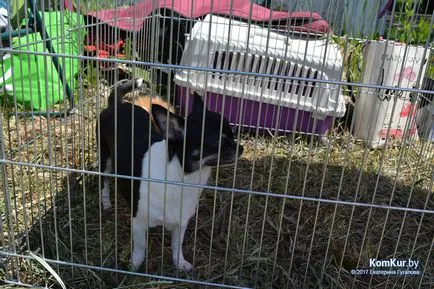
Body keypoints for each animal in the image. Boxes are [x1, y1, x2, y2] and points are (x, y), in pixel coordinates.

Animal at [96, 78, 242, 270]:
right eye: (217, 142)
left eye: (232, 134)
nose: (240, 147)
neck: (182, 177)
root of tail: (116, 104)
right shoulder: (138, 222)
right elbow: (140, 246)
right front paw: (135, 264)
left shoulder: (181, 223)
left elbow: (176, 245)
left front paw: (179, 263)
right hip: (105, 158)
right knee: (104, 180)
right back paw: (105, 201)